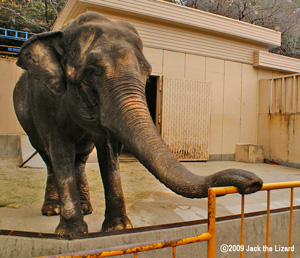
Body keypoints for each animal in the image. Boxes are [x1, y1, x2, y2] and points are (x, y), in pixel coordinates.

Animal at [13, 11, 262, 235]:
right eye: (91, 72)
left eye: (147, 71)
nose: (254, 183)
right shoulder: (44, 100)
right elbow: (60, 149)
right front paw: (72, 233)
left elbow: (107, 150)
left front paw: (118, 227)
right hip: (28, 121)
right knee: (48, 156)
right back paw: (52, 210)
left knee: (81, 157)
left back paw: (85, 208)